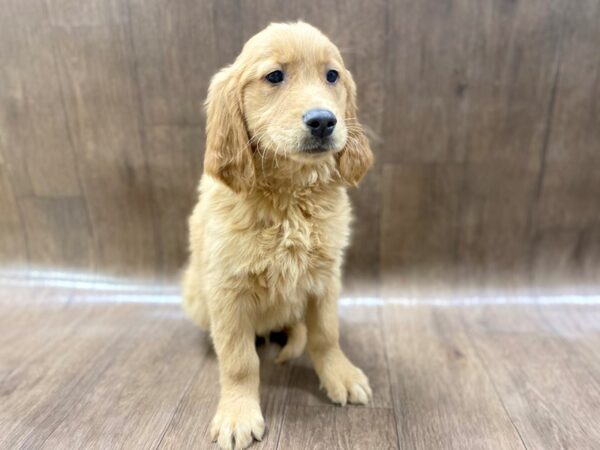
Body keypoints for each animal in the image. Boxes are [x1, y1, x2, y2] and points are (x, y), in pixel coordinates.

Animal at [180, 22, 372, 450]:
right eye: (274, 77)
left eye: (331, 76)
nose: (323, 121)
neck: (289, 197)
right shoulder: (227, 289)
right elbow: (238, 361)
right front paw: (238, 413)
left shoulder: (325, 278)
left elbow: (326, 334)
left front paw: (340, 375)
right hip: (196, 295)